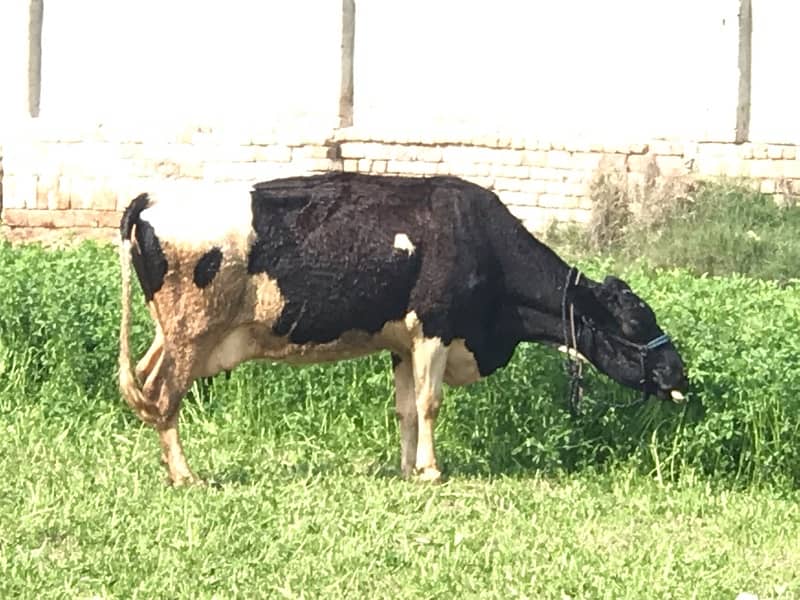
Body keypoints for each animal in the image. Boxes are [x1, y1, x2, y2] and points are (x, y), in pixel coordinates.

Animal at [119, 172, 688, 482]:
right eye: (637, 320)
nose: (679, 374)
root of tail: (153, 198)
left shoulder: (401, 342)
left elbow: (407, 408)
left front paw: (408, 467)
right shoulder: (435, 327)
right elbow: (431, 402)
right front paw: (431, 470)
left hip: (168, 335)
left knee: (145, 385)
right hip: (191, 332)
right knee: (165, 396)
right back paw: (185, 475)